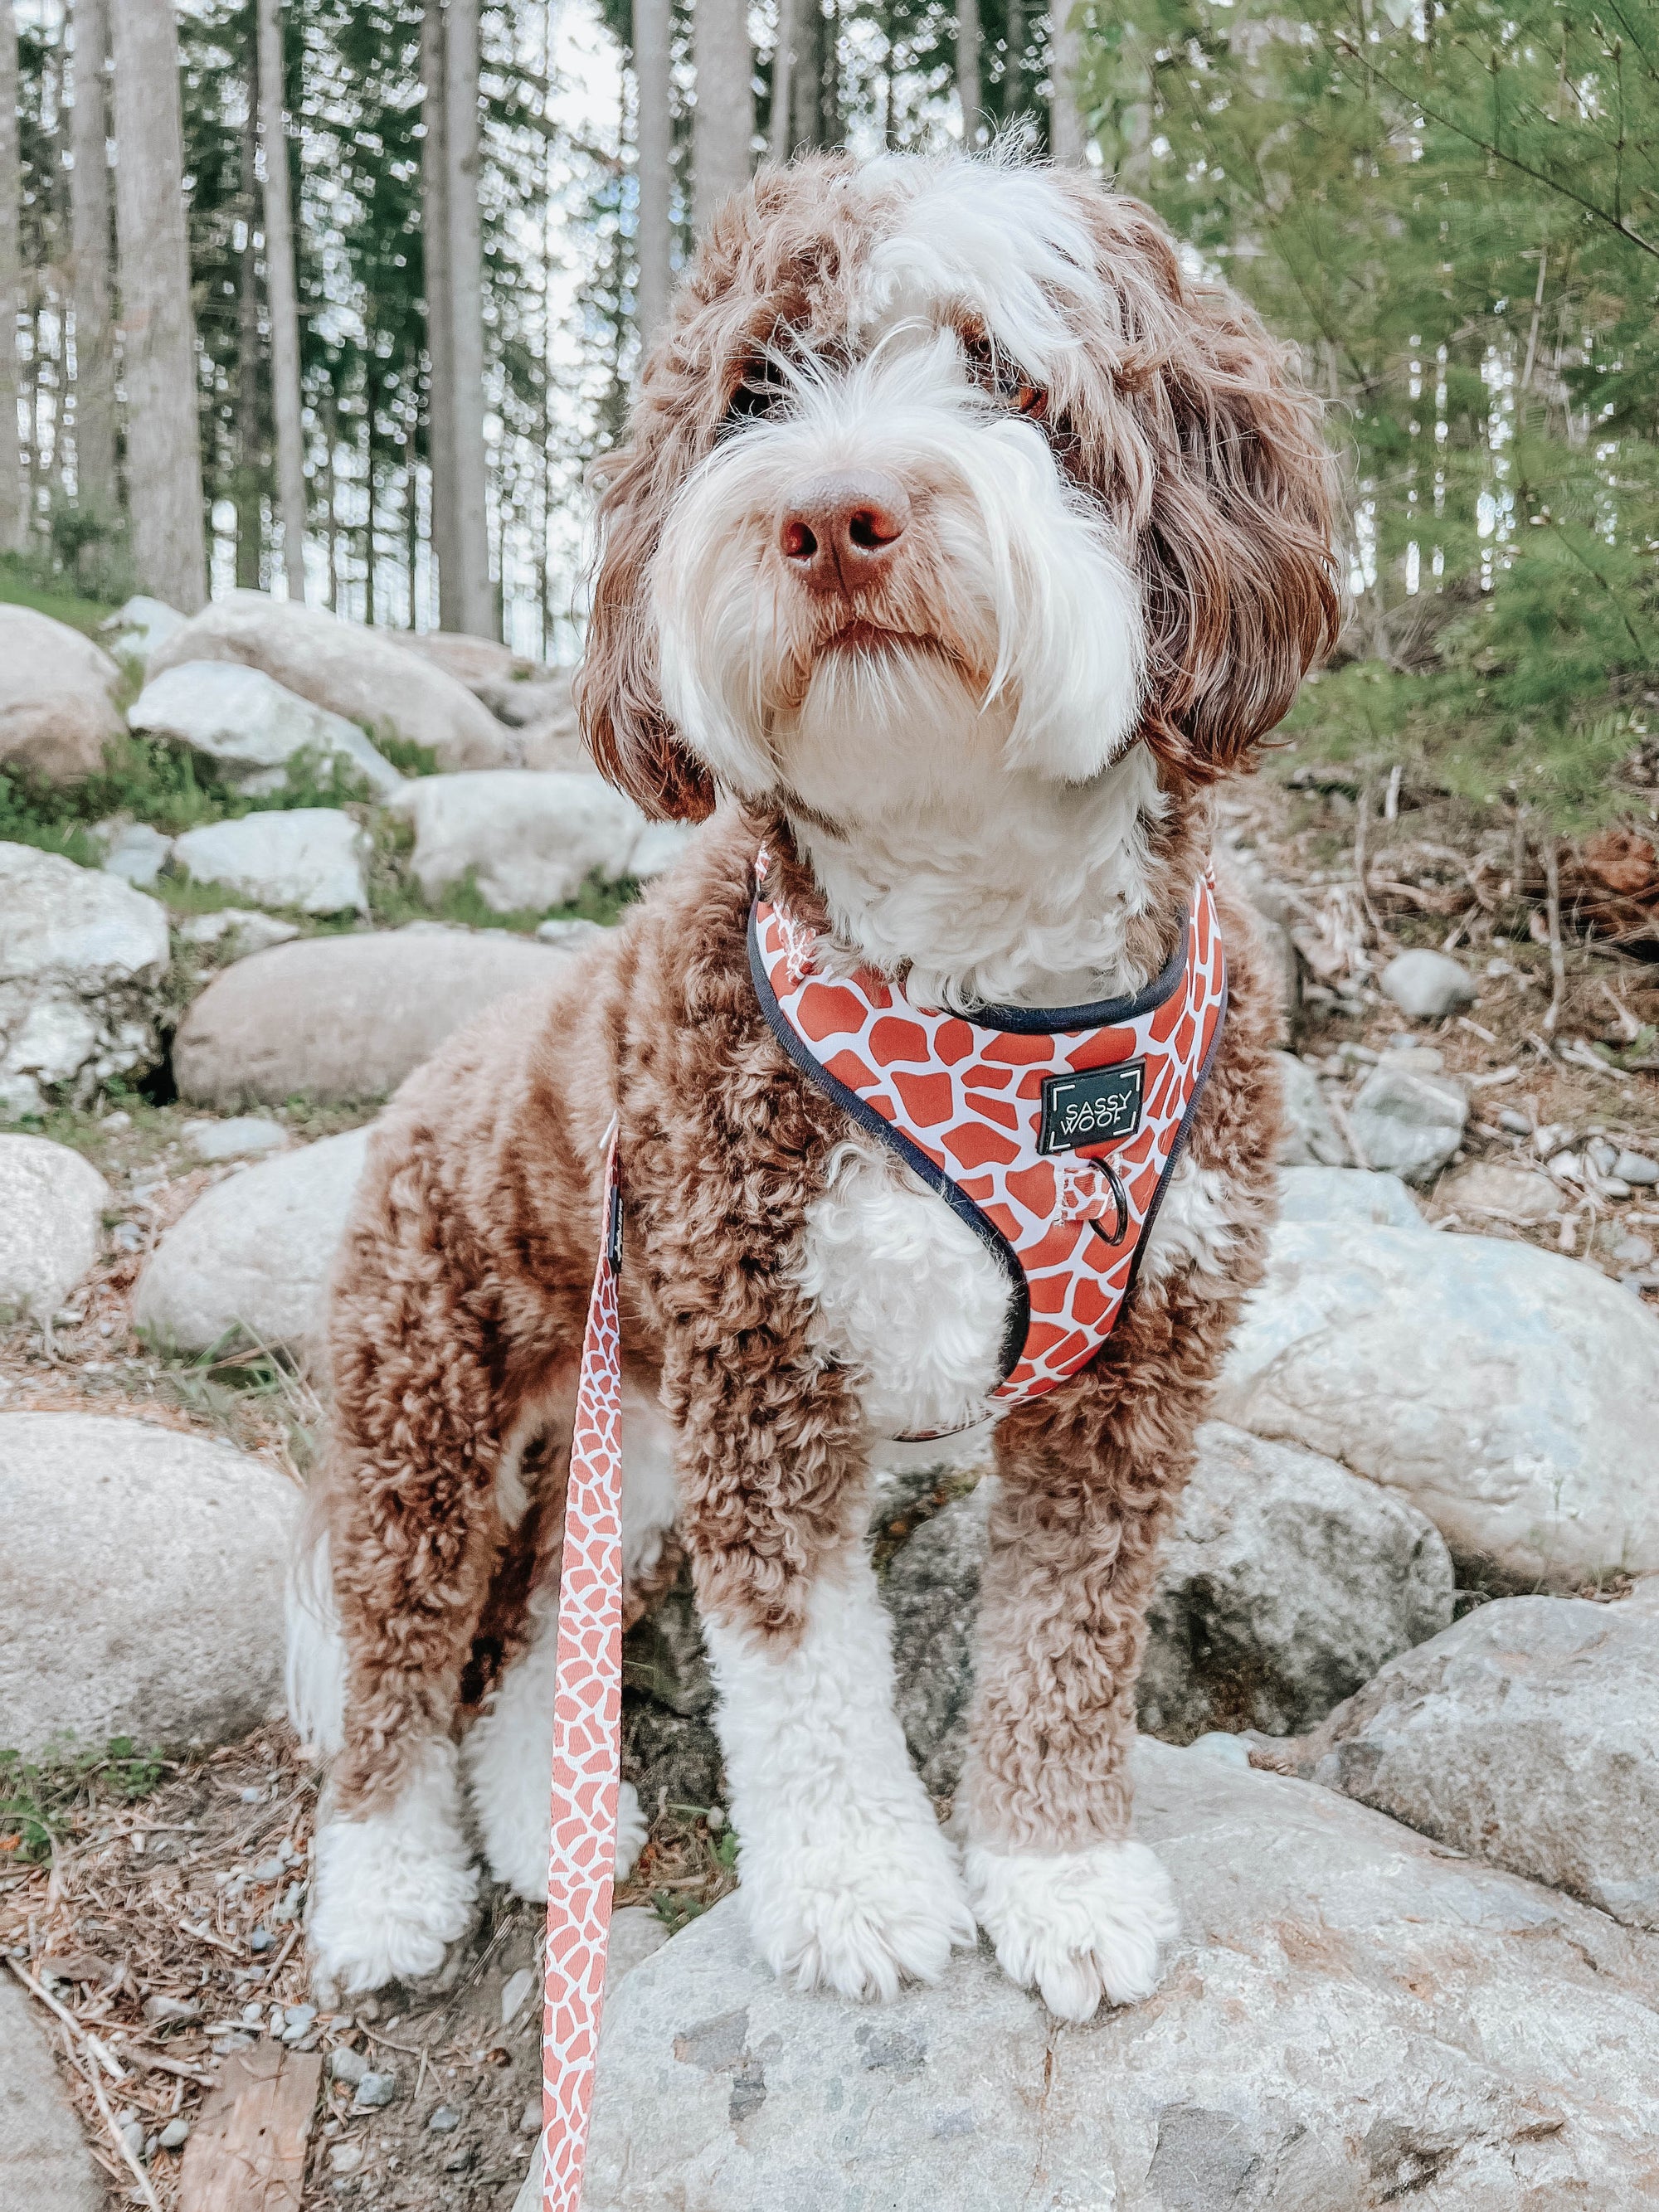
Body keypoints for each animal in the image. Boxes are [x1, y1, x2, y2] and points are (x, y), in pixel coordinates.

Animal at [289, 151, 1335, 2025]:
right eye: (759, 392)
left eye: (1011, 377)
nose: (834, 515)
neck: (992, 978)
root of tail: (421, 1086)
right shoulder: (767, 1372)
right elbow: (803, 1673)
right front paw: (856, 1889)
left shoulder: (1134, 1372)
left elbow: (1068, 1635)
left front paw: (1059, 1875)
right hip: (428, 1412)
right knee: (402, 1655)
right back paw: (389, 1886)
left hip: (622, 1439)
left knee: (536, 1634)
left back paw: (550, 1819)